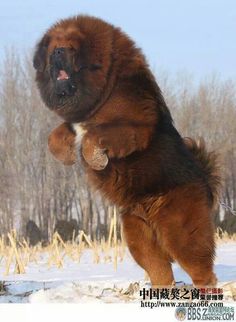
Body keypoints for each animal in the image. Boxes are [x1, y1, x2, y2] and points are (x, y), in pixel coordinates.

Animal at [33, 14, 221, 286]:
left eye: (70, 48)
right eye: (52, 48)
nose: (57, 52)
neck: (106, 87)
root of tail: (205, 181)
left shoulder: (131, 125)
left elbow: (93, 137)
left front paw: (97, 160)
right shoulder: (73, 122)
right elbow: (55, 136)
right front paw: (67, 155)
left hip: (182, 233)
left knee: (202, 271)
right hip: (138, 237)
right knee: (159, 270)